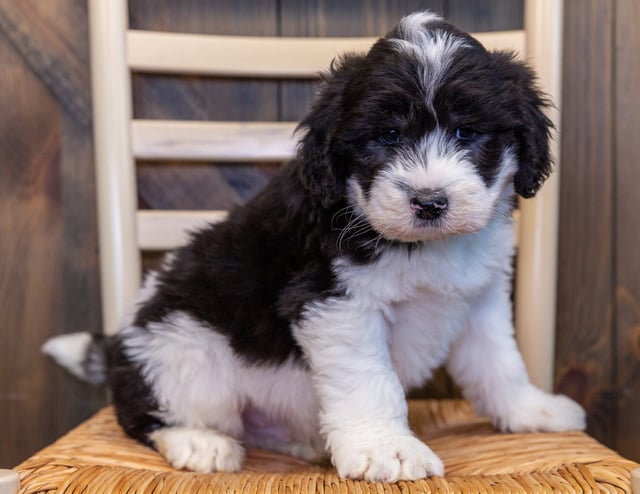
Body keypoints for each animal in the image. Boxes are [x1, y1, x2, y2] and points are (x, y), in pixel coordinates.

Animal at [43, 11, 584, 482]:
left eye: (466, 132)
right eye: (387, 136)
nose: (430, 202)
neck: (425, 247)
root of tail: (119, 345)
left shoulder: (479, 299)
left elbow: (499, 362)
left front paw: (530, 410)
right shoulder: (336, 301)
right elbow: (369, 379)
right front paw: (386, 449)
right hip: (179, 351)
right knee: (151, 413)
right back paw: (198, 440)